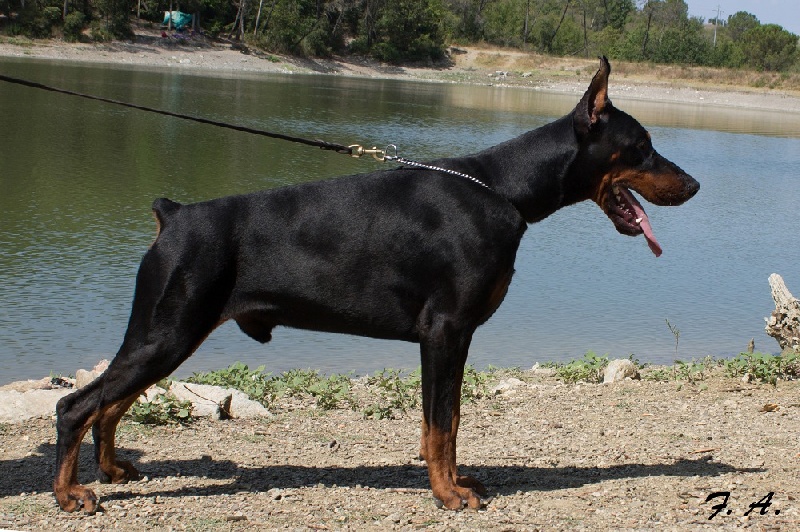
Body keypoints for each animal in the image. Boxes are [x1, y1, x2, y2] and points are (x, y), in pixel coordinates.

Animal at [53, 57, 698, 513]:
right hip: (169, 330)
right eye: (643, 147)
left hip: (167, 334)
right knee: (76, 404)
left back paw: (113, 471)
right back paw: (71, 494)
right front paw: (448, 494)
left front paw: (453, 480)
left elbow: (448, 419)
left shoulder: (451, 337)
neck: (503, 189)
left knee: (108, 404)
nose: (694, 186)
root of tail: (175, 214)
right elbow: (441, 421)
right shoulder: (445, 330)